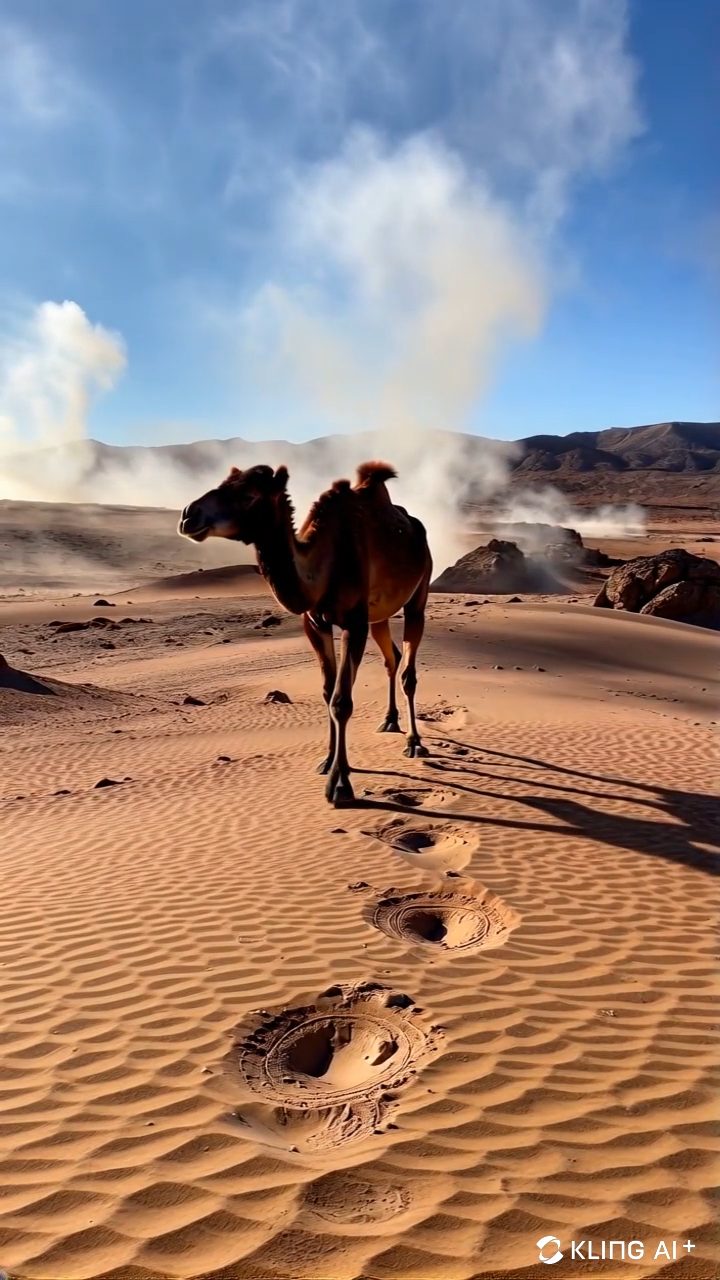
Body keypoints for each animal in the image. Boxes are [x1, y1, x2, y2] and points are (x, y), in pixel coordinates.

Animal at [178, 460, 430, 803]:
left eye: (248, 495)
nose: (189, 514)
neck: (325, 563)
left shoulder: (354, 622)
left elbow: (341, 700)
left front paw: (340, 784)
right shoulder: (315, 623)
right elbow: (327, 692)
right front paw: (328, 761)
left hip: (419, 594)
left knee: (408, 671)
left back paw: (414, 743)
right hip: (379, 616)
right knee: (391, 658)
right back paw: (389, 721)